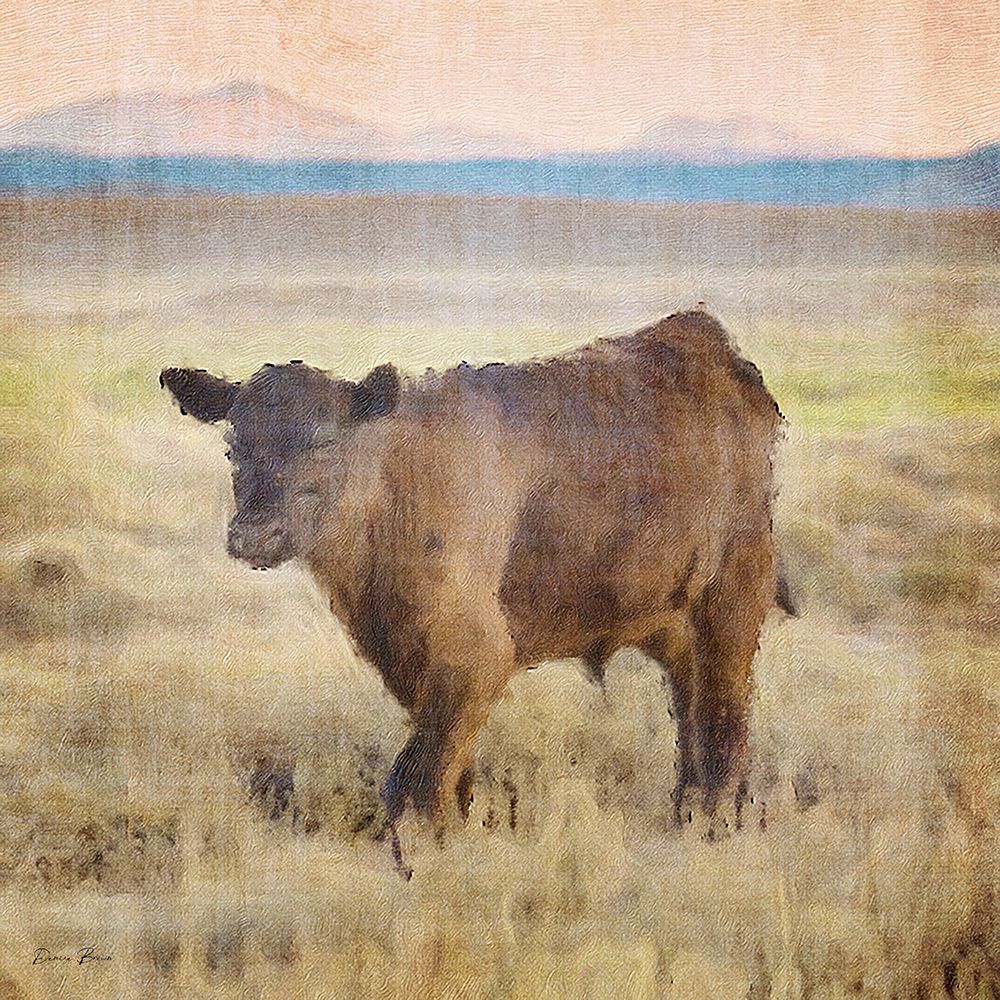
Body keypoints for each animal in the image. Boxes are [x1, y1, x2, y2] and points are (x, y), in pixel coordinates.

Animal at [161, 311, 791, 858]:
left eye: (322, 441)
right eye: (233, 444)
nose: (253, 535)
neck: (397, 480)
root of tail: (709, 348)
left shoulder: (476, 656)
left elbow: (415, 779)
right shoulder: (410, 660)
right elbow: (441, 770)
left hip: (733, 601)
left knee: (725, 715)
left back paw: (719, 820)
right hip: (674, 620)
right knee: (692, 710)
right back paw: (690, 811)